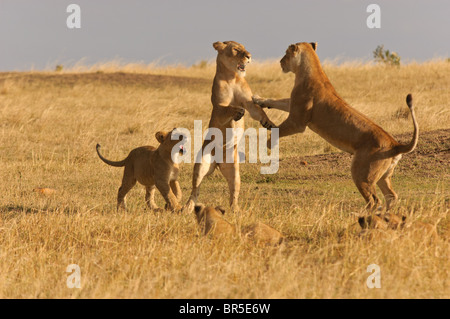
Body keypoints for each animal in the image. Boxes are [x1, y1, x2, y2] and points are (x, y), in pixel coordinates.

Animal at [182, 40, 274, 215]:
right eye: (236, 50)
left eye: (244, 48)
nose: (249, 56)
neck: (232, 77)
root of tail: (218, 163)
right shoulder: (218, 107)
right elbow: (229, 108)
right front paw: (238, 112)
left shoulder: (249, 102)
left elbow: (259, 112)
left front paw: (269, 123)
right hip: (201, 165)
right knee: (195, 189)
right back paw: (188, 207)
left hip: (234, 172)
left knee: (234, 192)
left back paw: (236, 210)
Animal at [253, 43, 418, 212]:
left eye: (286, 54)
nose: (280, 62)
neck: (308, 70)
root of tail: (395, 144)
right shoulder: (293, 106)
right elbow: (276, 101)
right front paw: (258, 99)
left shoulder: (297, 122)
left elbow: (278, 129)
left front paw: (268, 144)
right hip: (383, 176)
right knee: (391, 196)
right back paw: (385, 214)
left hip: (361, 172)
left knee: (374, 199)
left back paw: (359, 215)